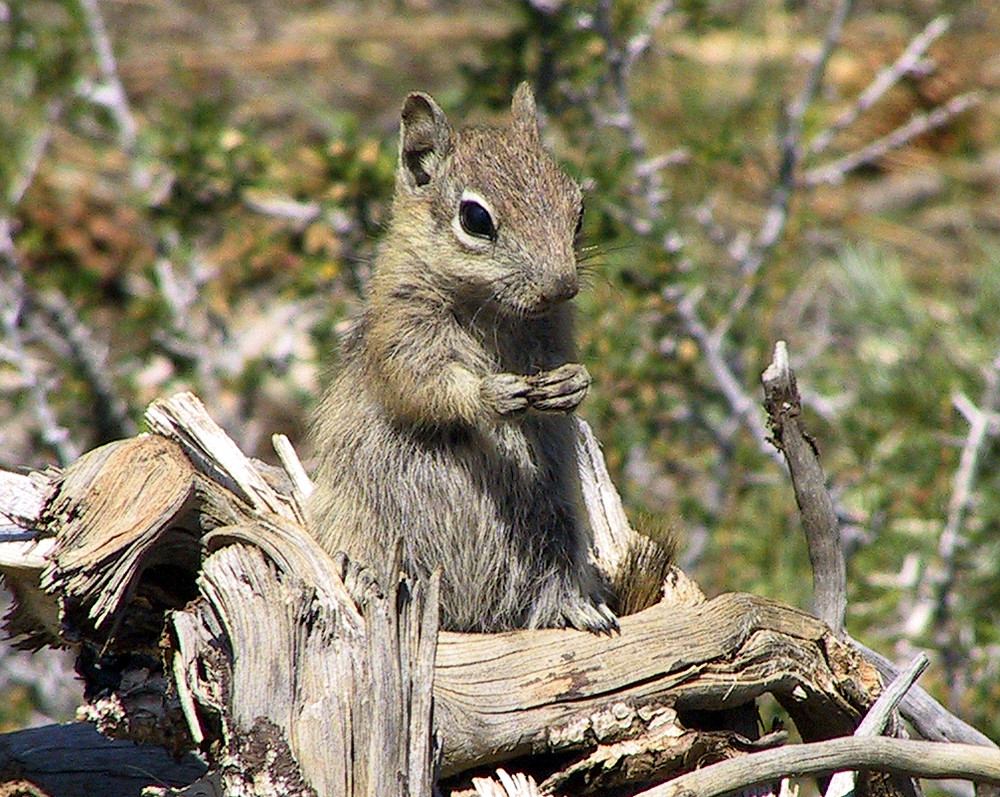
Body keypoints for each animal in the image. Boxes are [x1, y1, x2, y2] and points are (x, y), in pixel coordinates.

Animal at [308, 84, 616, 632]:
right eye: (476, 219)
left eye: (577, 210)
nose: (563, 286)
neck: (491, 309)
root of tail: (468, 615)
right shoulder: (402, 333)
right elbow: (422, 387)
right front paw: (493, 393)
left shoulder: (555, 334)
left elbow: (567, 367)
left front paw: (573, 384)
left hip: (559, 525)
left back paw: (577, 608)